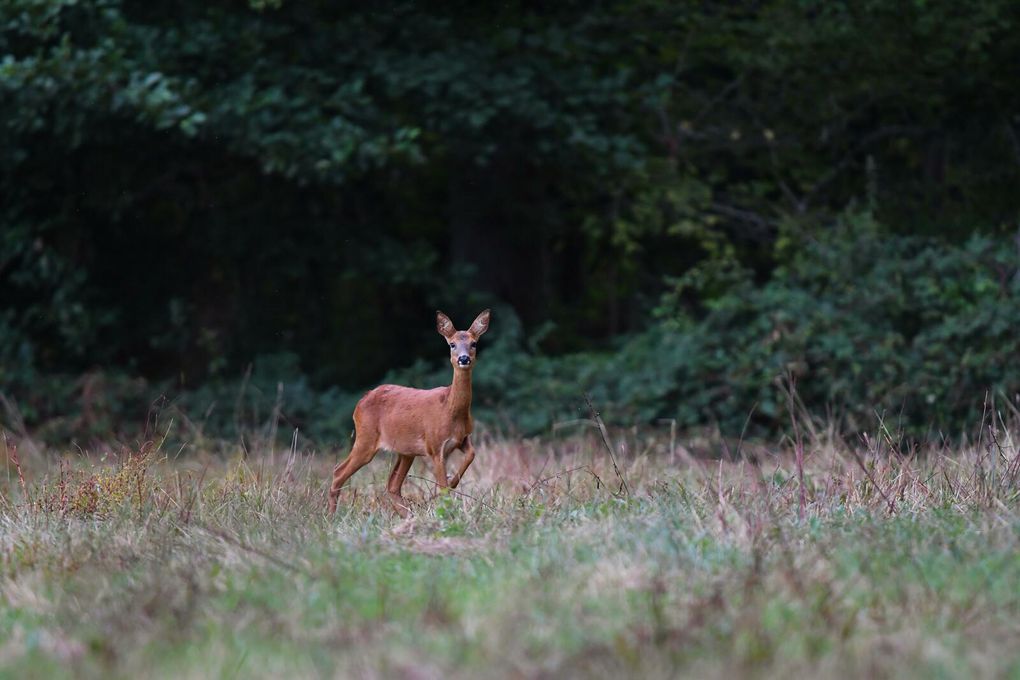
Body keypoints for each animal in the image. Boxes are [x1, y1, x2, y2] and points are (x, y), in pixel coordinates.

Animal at [324, 307, 487, 515]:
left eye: (474, 343)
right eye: (452, 344)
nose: (464, 358)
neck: (450, 410)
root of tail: (361, 402)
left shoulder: (462, 438)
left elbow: (471, 455)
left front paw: (452, 482)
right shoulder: (434, 446)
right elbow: (442, 485)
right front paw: (446, 506)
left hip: (405, 451)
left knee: (392, 485)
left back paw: (408, 515)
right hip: (366, 438)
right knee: (339, 471)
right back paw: (331, 515)